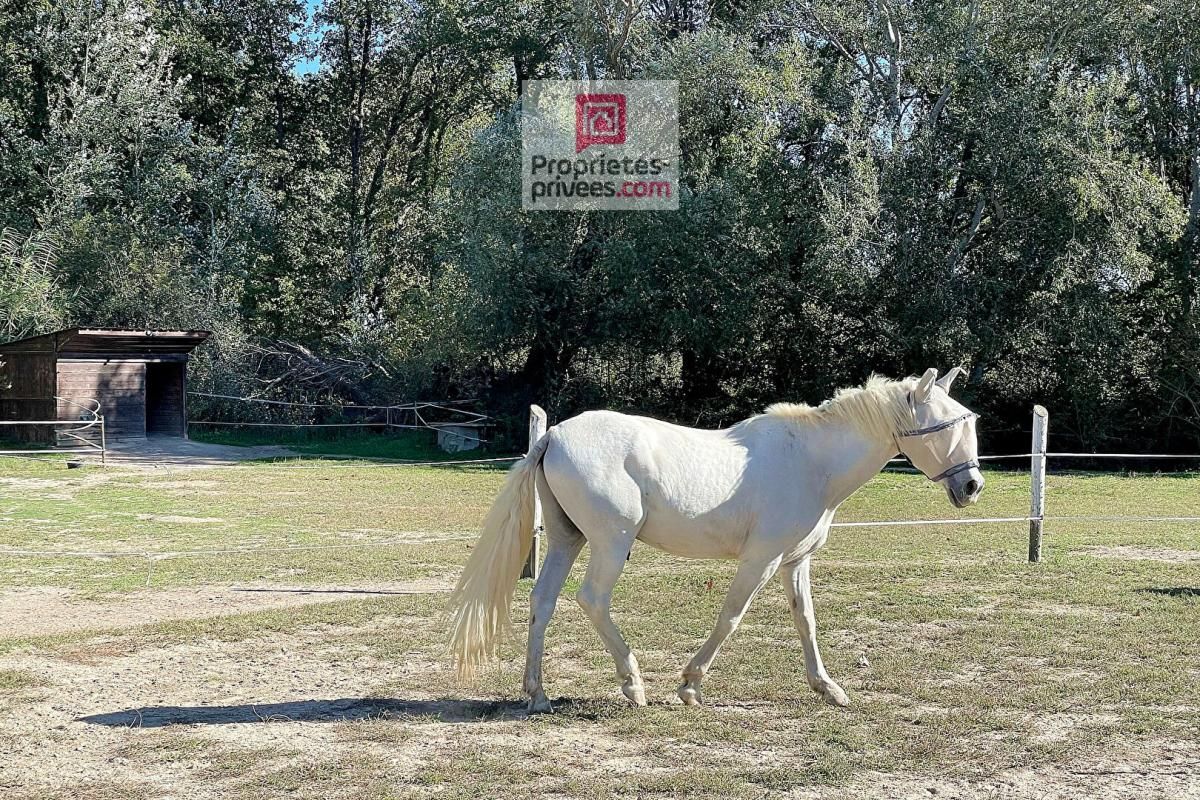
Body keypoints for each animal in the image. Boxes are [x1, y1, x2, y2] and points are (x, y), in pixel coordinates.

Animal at [451, 369, 984, 714]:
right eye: (944, 426)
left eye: (970, 420)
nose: (972, 486)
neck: (811, 462)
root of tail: (554, 435)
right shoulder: (761, 560)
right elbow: (731, 617)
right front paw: (690, 686)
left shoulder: (795, 563)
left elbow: (806, 621)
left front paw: (828, 688)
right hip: (610, 542)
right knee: (592, 600)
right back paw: (633, 685)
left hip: (568, 539)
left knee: (543, 602)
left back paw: (537, 694)